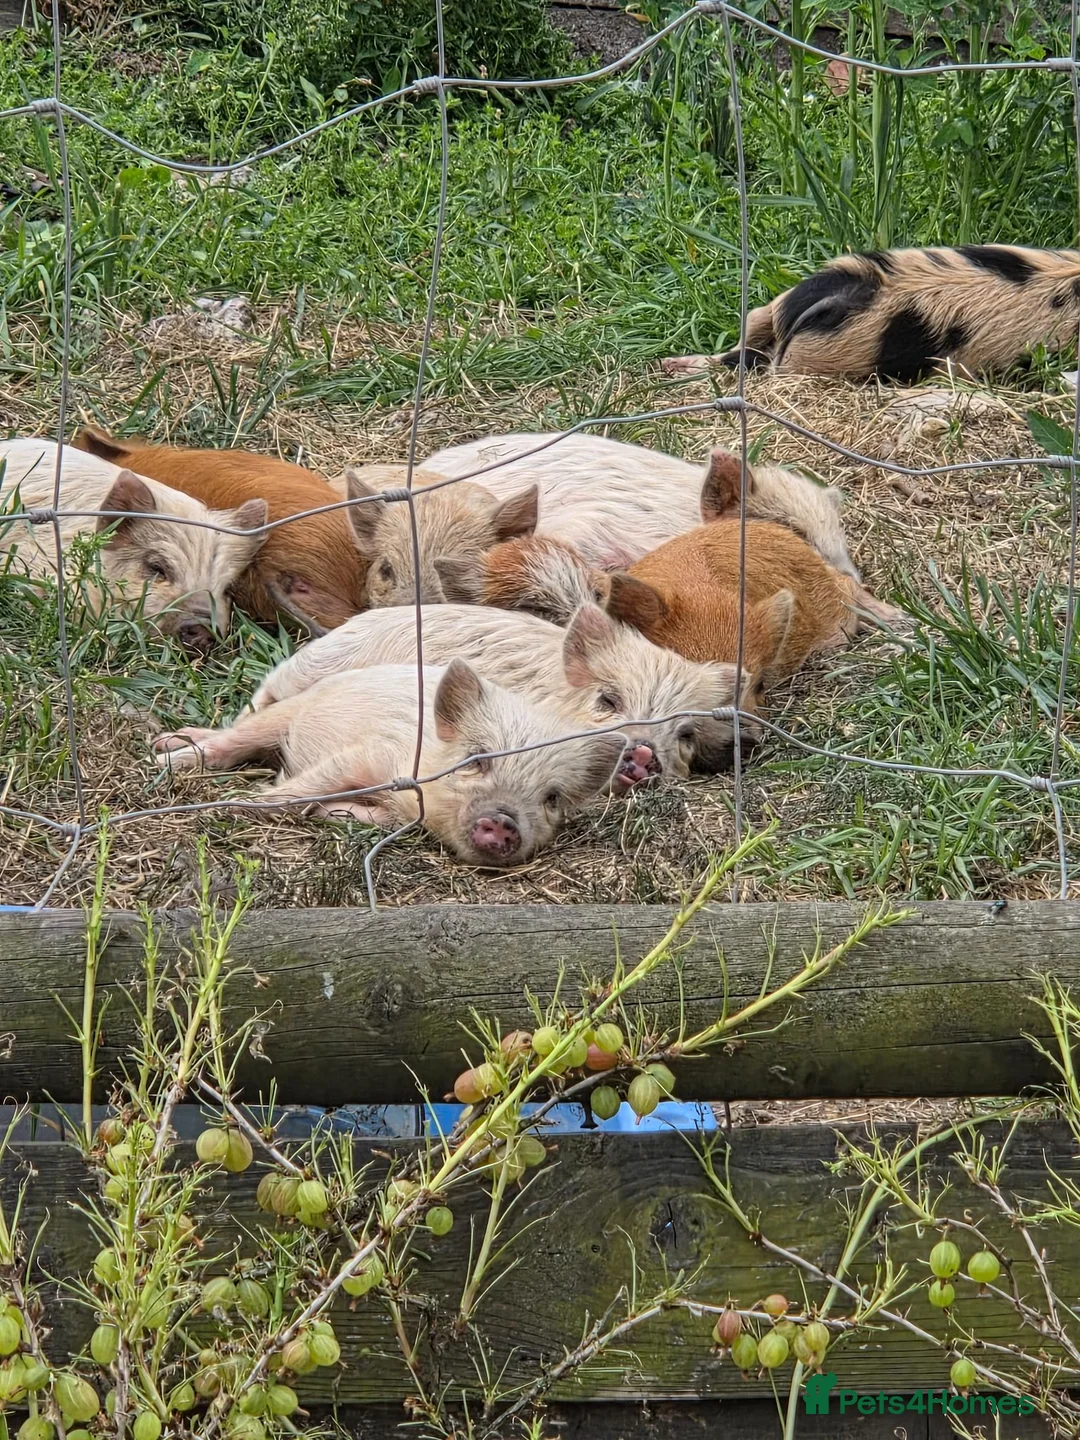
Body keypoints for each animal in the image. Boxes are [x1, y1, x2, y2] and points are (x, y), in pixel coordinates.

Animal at [153, 660, 626, 866]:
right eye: (475, 760)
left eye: (552, 798)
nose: (504, 819)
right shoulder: (371, 754)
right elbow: (307, 786)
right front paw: (244, 804)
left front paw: (333, 812)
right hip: (284, 713)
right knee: (232, 738)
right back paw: (164, 752)